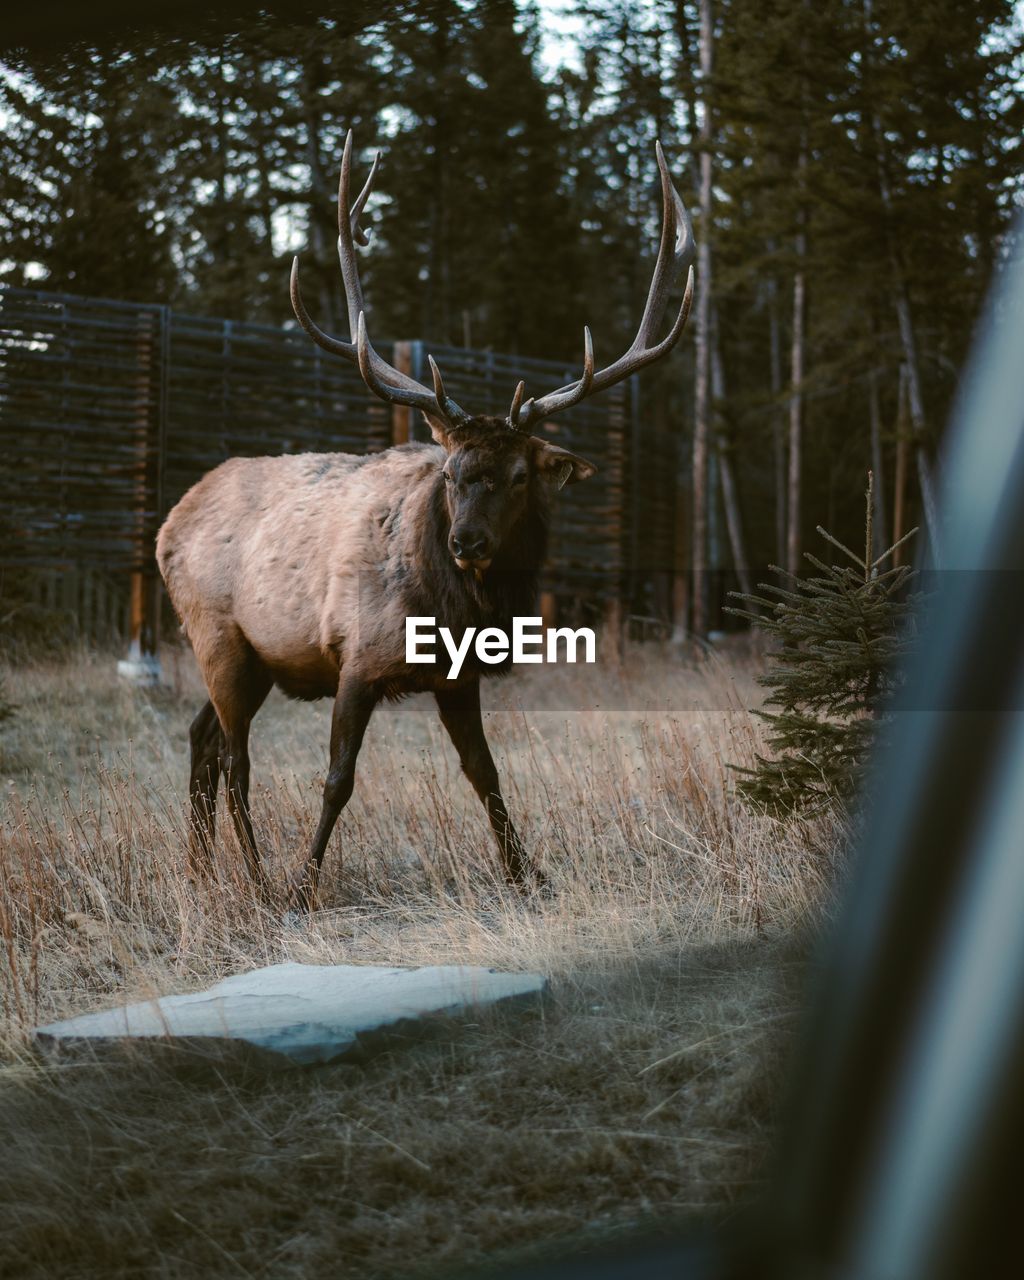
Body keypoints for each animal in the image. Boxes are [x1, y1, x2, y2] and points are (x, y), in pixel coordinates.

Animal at [156, 132, 691, 911]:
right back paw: (254, 876)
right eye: (450, 473)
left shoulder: (457, 680)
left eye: (521, 475)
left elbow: (486, 774)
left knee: (201, 740)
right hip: (217, 634)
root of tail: (169, 523)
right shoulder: (354, 658)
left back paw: (201, 869)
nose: (466, 540)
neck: (452, 611)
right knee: (234, 757)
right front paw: (303, 885)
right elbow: (338, 779)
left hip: (251, 657)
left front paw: (527, 873)